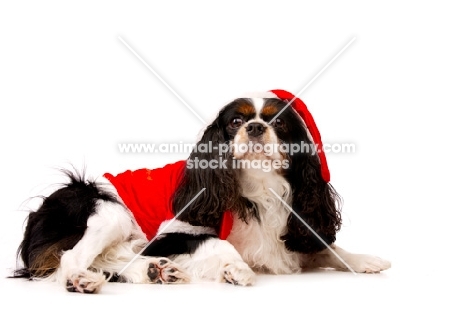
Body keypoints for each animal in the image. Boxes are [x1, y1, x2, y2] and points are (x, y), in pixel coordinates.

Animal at [12, 89, 392, 294]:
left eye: (279, 122)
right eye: (236, 122)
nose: (256, 127)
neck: (260, 187)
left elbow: (326, 248)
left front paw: (363, 260)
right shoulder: (170, 233)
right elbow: (220, 243)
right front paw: (236, 269)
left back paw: (156, 272)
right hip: (108, 211)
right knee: (72, 258)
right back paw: (83, 280)